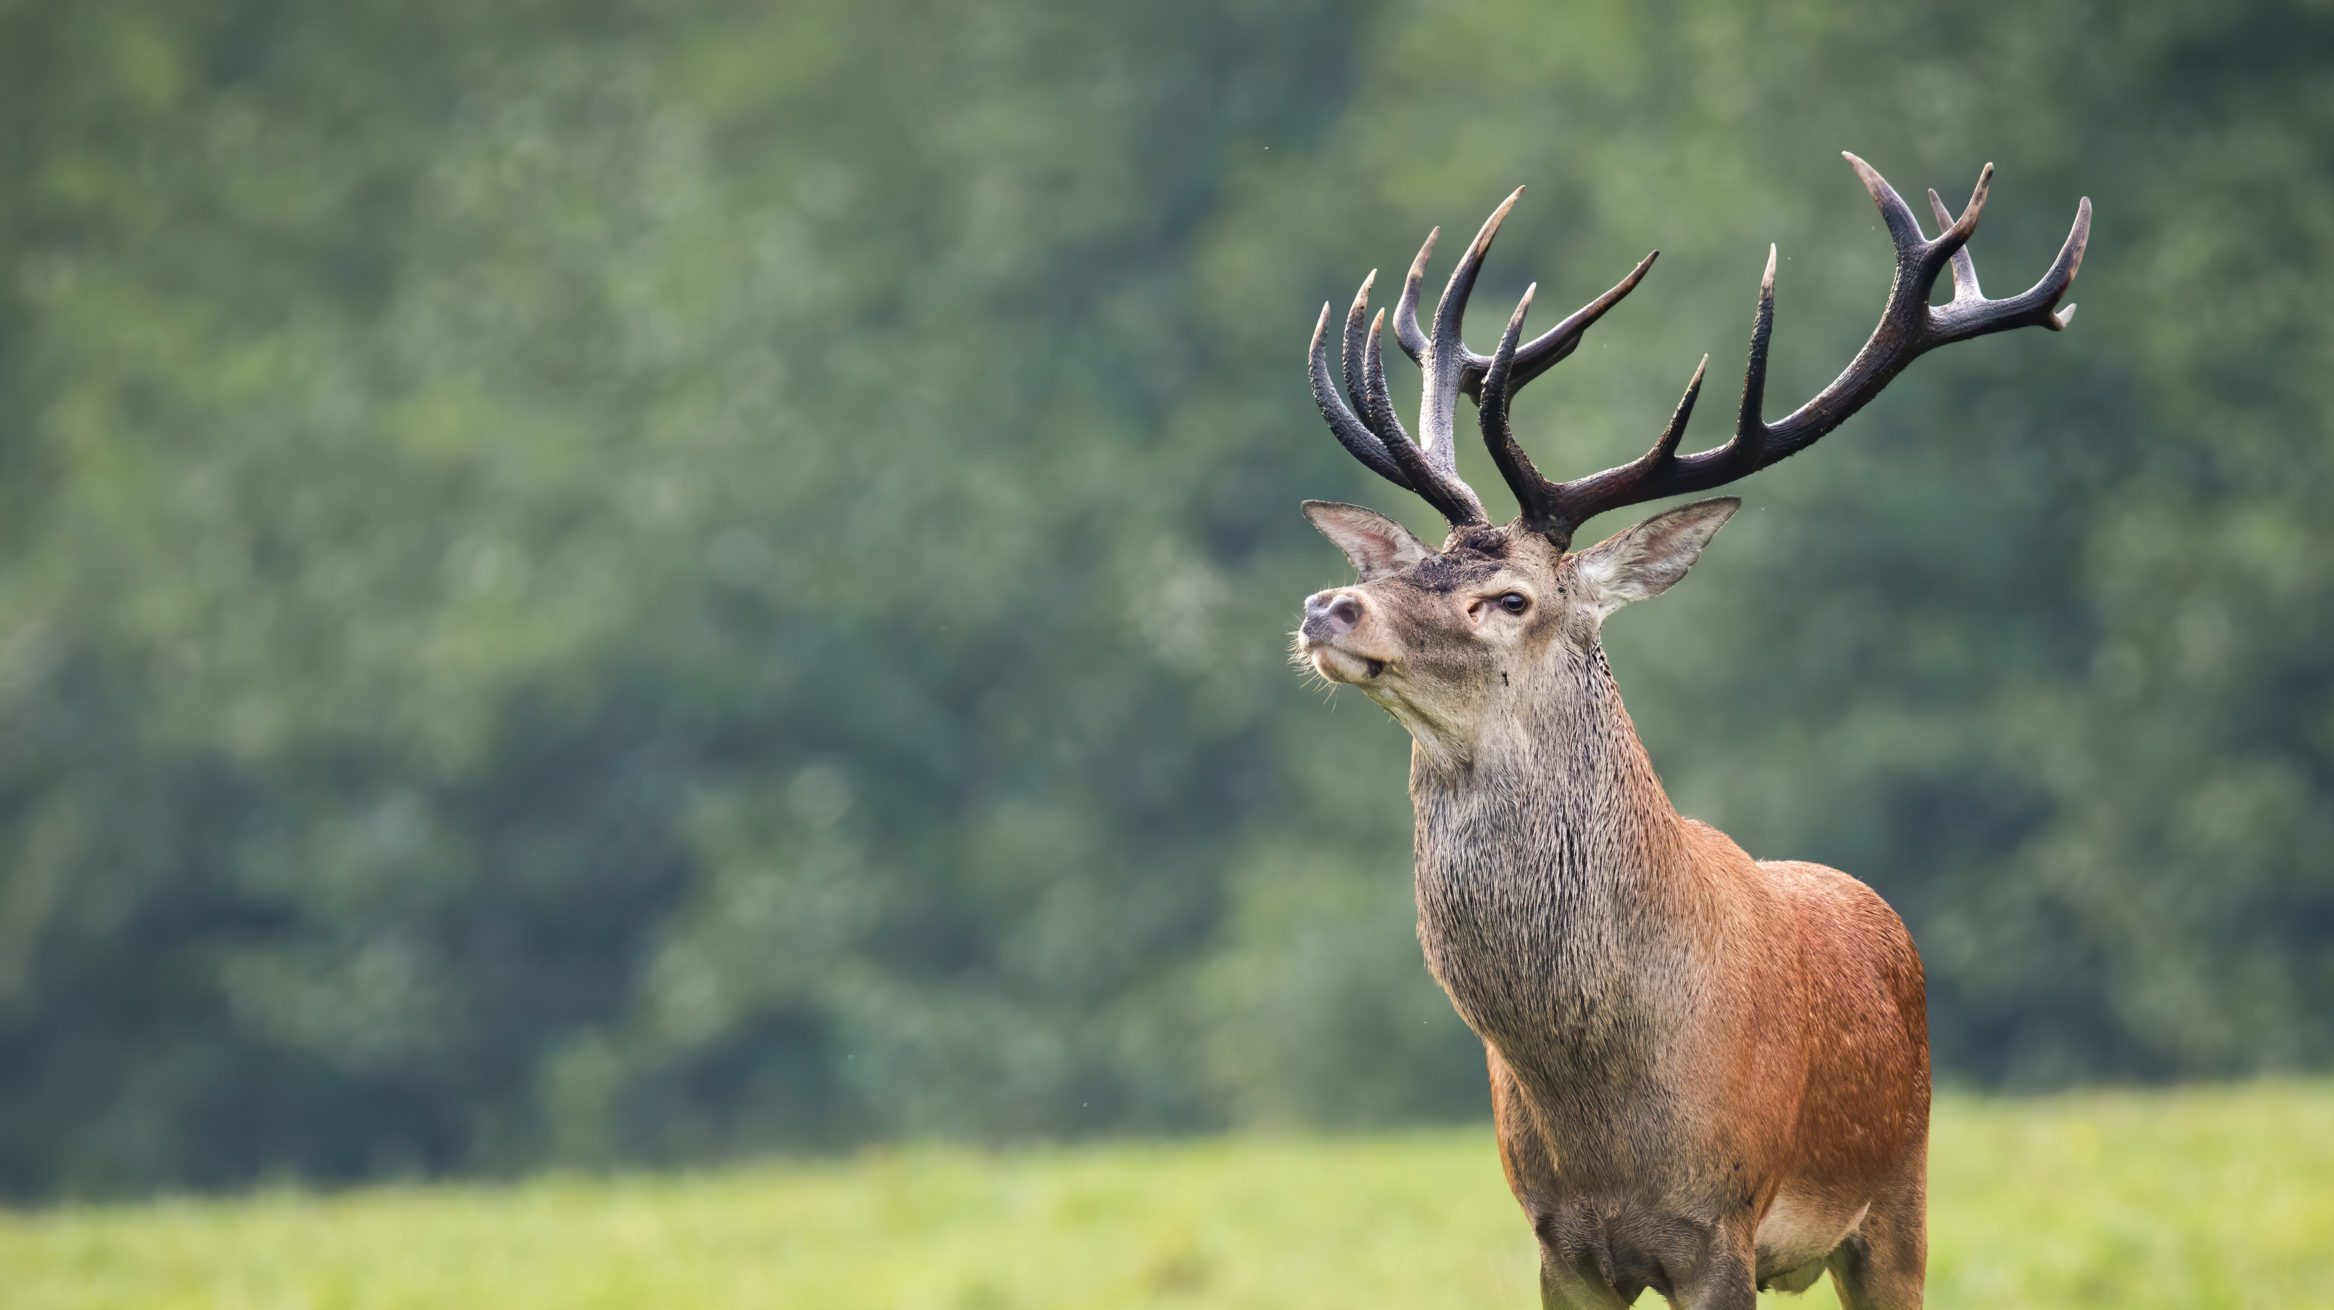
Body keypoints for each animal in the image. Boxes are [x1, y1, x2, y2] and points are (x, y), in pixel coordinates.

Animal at [1290, 154, 2089, 1310]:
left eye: (1511, 598)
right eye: (1405, 567)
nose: (1328, 607)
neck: (1603, 1103)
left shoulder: (1721, 1230)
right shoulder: (1558, 1243)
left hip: (1901, 1194)